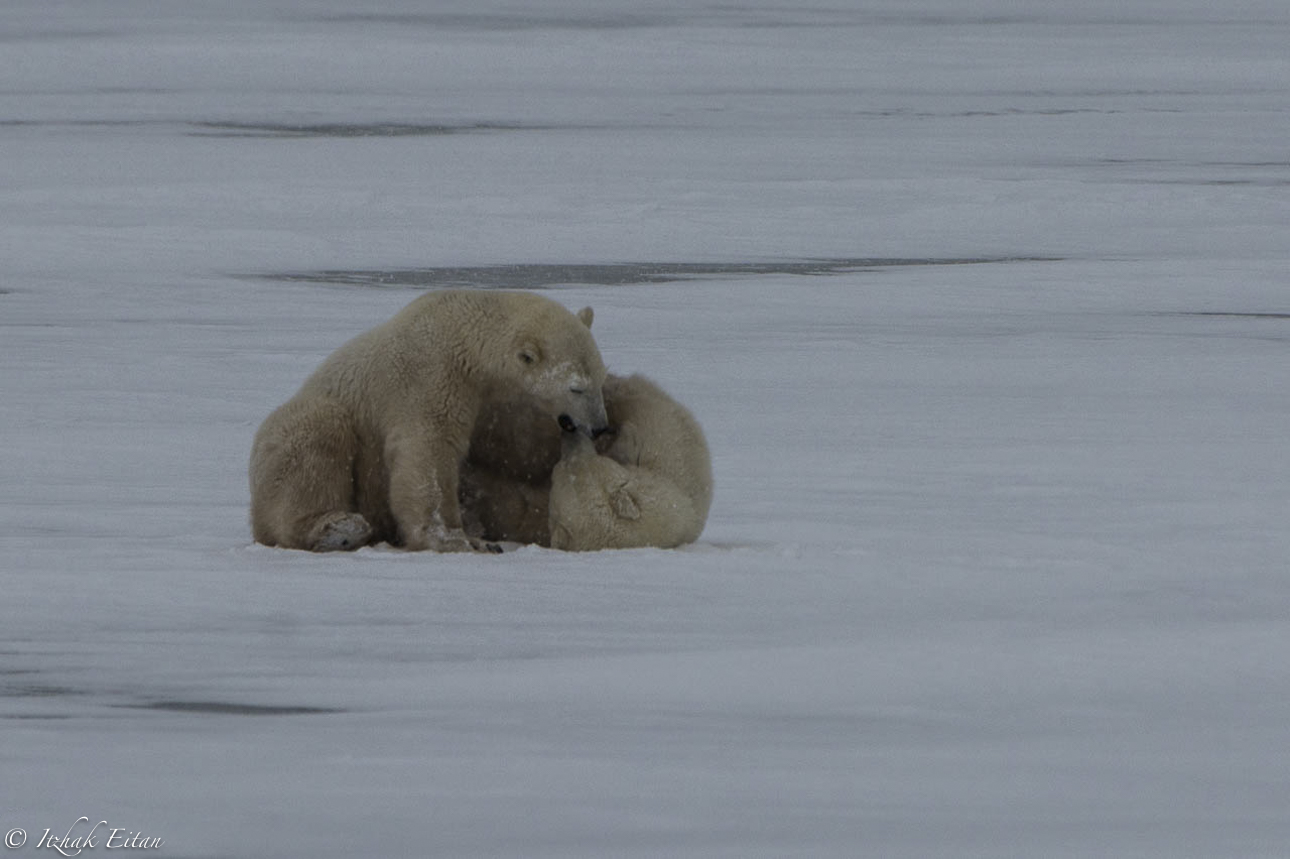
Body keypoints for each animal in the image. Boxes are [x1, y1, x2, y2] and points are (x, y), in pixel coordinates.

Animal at [249, 289, 608, 552]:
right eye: (576, 388)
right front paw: (456, 539)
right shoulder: (430, 377)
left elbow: (515, 452)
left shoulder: (498, 402)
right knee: (316, 435)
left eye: (600, 378)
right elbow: (429, 452)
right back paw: (337, 529)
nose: (600, 427)